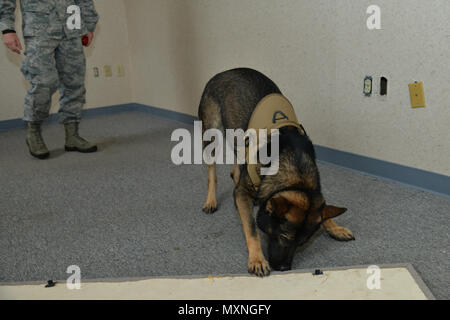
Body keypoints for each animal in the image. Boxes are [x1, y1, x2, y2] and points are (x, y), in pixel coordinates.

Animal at [199, 69, 354, 276]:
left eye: (301, 243)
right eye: (282, 236)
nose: (284, 268)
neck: (297, 176)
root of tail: (224, 72)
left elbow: (323, 209)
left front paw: (334, 227)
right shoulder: (244, 192)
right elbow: (252, 228)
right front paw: (257, 259)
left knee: (235, 168)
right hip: (211, 135)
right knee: (212, 172)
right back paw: (211, 200)